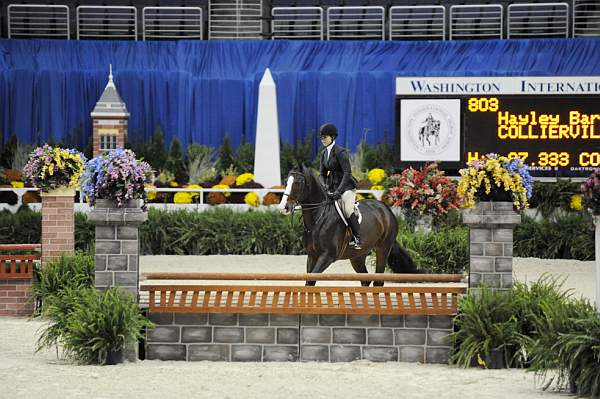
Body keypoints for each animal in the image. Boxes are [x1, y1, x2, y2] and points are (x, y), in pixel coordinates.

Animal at [276, 166, 418, 288]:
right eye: (286, 182)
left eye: (299, 182)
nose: (283, 207)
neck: (318, 219)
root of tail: (385, 209)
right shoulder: (312, 256)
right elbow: (308, 283)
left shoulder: (327, 256)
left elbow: (311, 281)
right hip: (357, 256)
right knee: (365, 280)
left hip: (383, 249)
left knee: (378, 281)